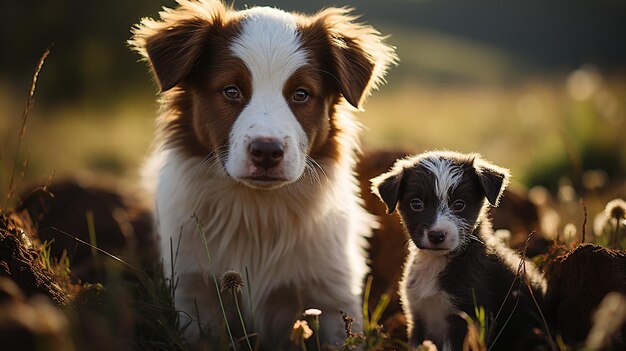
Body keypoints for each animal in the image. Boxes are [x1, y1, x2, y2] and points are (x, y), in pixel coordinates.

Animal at [129, 0, 392, 350]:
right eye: (231, 90)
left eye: (301, 94)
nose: (266, 151)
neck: (257, 211)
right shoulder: (193, 287)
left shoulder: (334, 291)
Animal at [370, 152, 544, 351]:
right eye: (416, 204)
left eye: (459, 204)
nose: (436, 235)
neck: (436, 261)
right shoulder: (417, 317)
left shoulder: (464, 317)